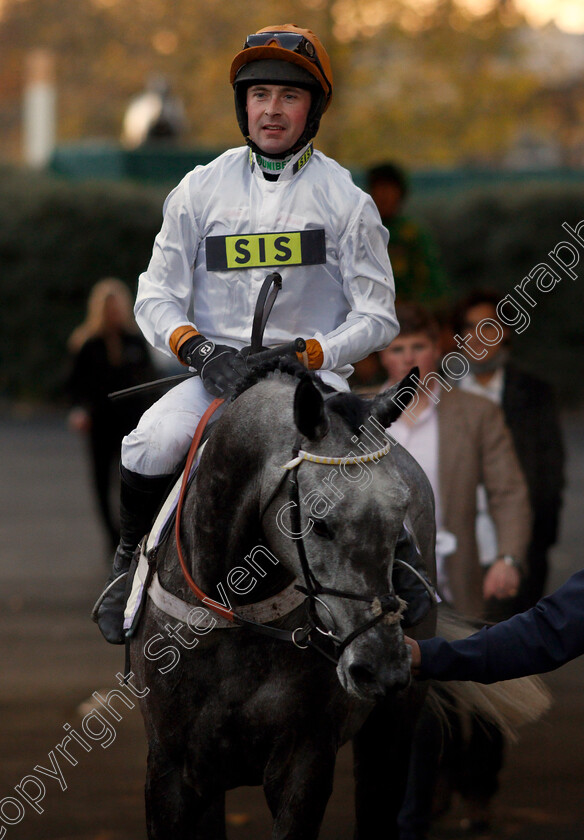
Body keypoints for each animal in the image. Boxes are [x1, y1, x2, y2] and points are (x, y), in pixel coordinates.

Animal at [129, 360, 438, 840]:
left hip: (391, 730)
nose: (382, 667)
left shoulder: (305, 764)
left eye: (399, 517)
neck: (235, 612)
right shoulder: (170, 767)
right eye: (320, 522)